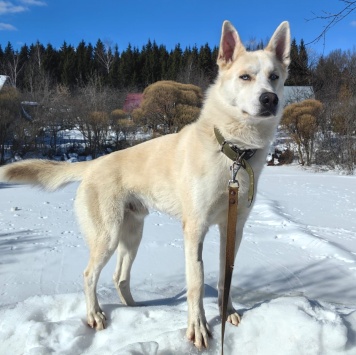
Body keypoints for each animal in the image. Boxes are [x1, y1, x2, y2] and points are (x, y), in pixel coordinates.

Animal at [0, 20, 290, 350]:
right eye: (245, 77)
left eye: (274, 77)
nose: (270, 99)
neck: (233, 150)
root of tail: (93, 163)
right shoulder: (195, 229)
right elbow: (196, 282)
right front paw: (198, 328)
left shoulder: (234, 227)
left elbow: (224, 276)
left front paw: (227, 312)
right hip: (108, 236)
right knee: (89, 275)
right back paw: (95, 315)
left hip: (132, 235)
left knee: (120, 278)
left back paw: (135, 311)